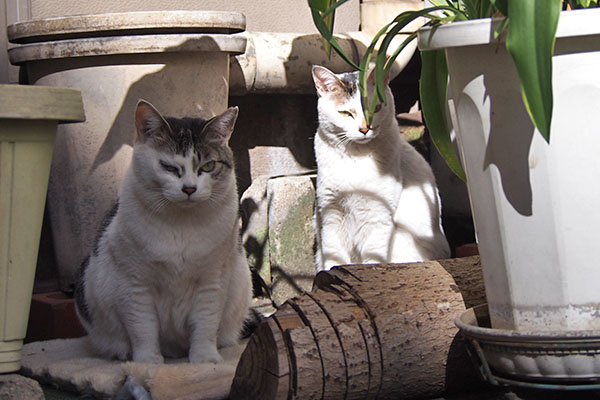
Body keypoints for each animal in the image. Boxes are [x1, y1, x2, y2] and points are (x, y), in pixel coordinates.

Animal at [75, 100, 251, 362]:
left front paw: (205, 360)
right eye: (168, 167)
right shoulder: (135, 284)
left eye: (208, 166)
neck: (180, 225)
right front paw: (147, 362)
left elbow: (205, 324)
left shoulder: (212, 281)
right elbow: (143, 328)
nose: (189, 188)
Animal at [312, 65, 448, 272]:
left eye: (375, 108)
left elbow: (373, 258)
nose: (364, 129)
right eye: (345, 113)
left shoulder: (378, 216)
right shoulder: (331, 213)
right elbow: (333, 259)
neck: (355, 158)